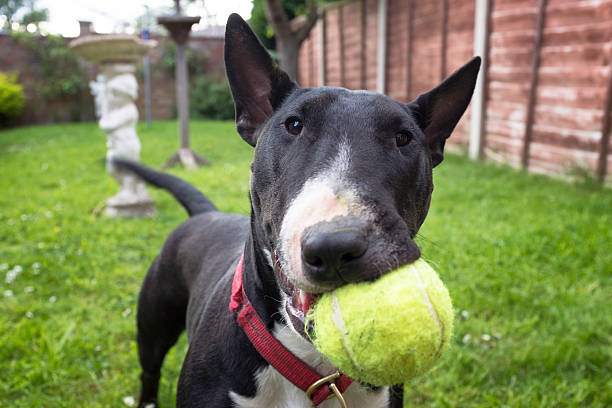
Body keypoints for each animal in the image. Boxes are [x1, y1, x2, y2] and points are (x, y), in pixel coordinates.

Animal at [122, 12, 480, 408]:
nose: (335, 247)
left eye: (404, 138)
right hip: (153, 324)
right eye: (294, 125)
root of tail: (206, 213)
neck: (313, 368)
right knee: (149, 370)